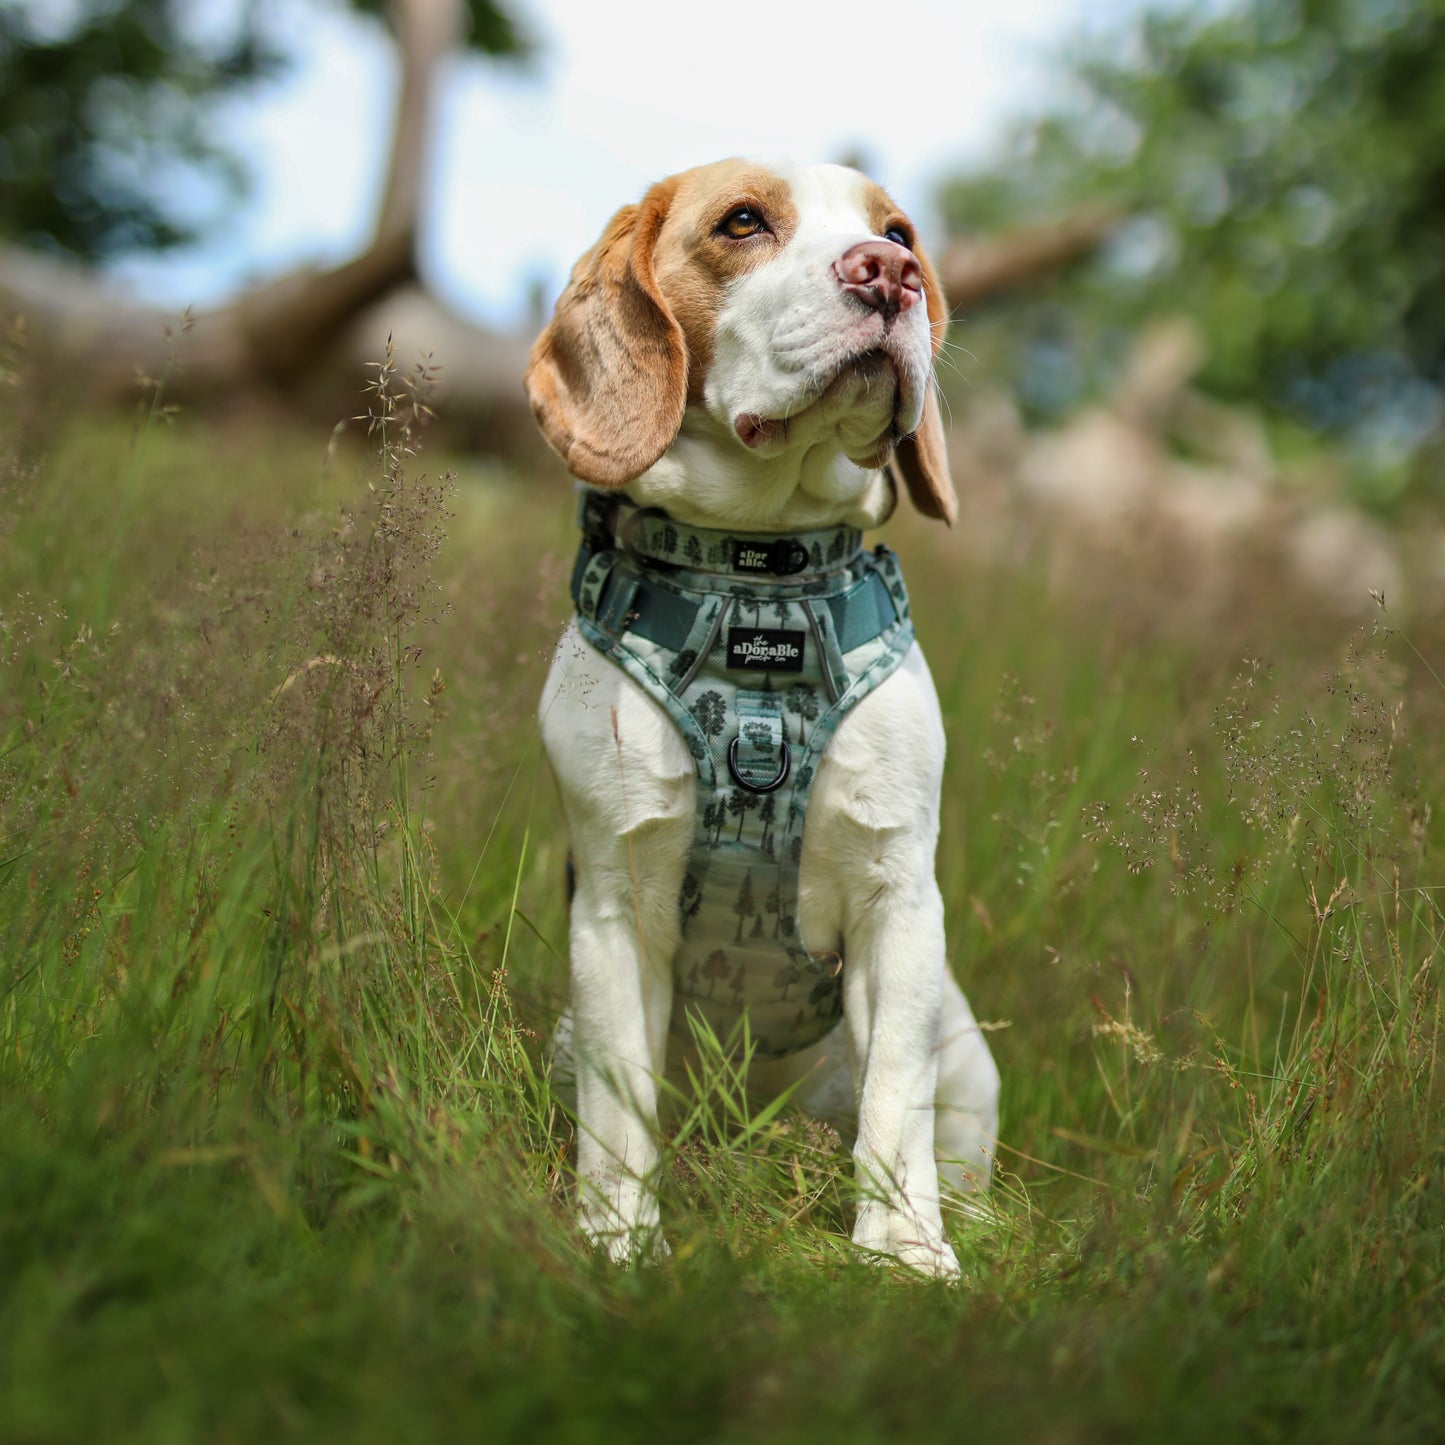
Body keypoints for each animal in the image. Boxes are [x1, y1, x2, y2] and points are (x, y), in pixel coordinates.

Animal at [525, 158, 999, 1277]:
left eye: (898, 231)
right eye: (741, 223)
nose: (887, 273)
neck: (757, 578)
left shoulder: (898, 900)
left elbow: (894, 1107)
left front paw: (905, 1251)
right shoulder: (612, 907)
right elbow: (621, 1108)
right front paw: (618, 1241)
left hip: (968, 1048)